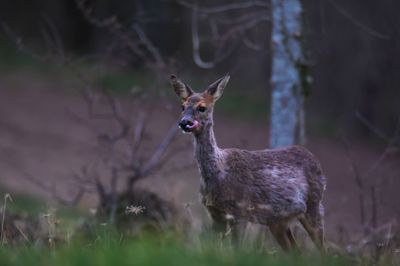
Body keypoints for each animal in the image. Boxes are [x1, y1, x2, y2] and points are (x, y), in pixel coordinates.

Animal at [170, 74, 326, 252]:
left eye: (202, 107)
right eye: (182, 106)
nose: (184, 122)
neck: (219, 172)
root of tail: (316, 161)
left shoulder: (241, 211)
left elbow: (238, 249)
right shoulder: (215, 213)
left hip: (314, 204)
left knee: (324, 250)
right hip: (278, 221)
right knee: (296, 251)